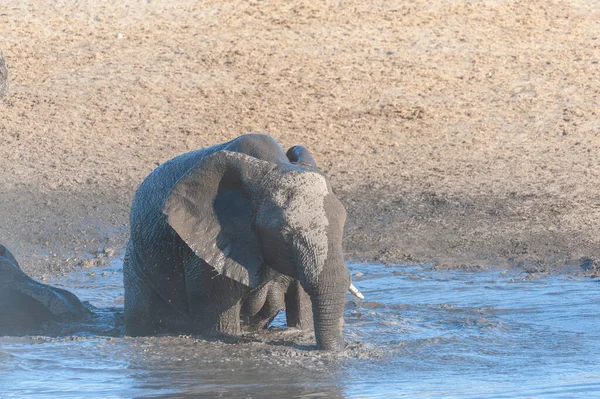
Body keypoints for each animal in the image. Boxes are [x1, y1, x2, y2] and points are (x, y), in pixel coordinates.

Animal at [123, 134, 360, 350]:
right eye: (284, 236)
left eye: (343, 225)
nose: (338, 349)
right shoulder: (205, 252)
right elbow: (221, 328)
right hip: (135, 262)